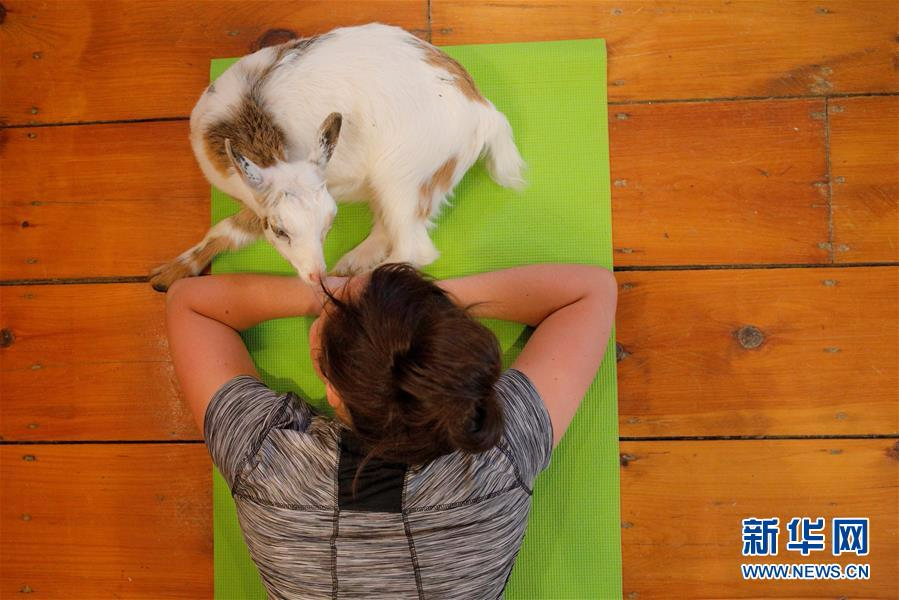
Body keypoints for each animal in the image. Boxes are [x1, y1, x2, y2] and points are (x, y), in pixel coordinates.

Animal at [149, 24, 528, 292]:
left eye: (330, 222)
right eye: (279, 229)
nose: (317, 275)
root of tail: (484, 111)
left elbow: (228, 227)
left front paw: (164, 274)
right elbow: (227, 229)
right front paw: (166, 275)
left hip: (403, 177)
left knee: (414, 249)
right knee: (389, 228)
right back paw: (352, 262)